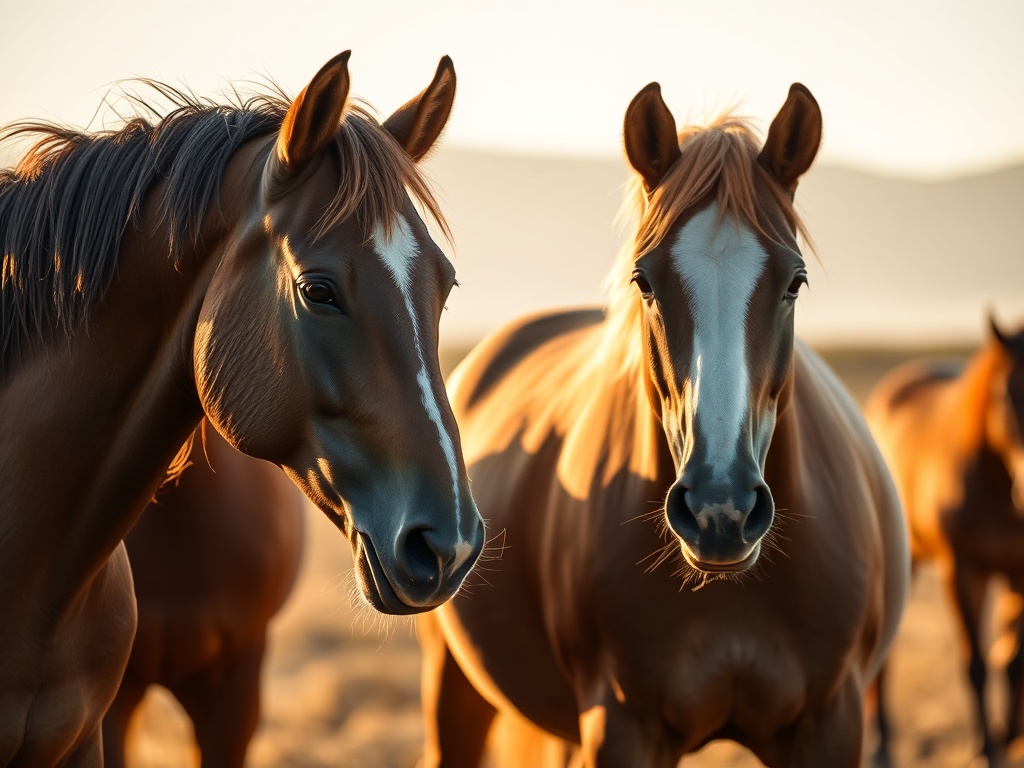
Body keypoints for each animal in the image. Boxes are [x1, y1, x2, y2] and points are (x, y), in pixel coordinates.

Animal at [416, 82, 909, 768]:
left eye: (795, 281)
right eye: (644, 280)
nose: (720, 510)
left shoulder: (831, 724)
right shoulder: (623, 726)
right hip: (453, 682)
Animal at [866, 315, 1024, 767]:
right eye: (1005, 393)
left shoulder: (1017, 570)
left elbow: (1013, 660)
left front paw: (1010, 740)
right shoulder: (961, 570)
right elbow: (976, 663)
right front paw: (985, 750)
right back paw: (882, 744)